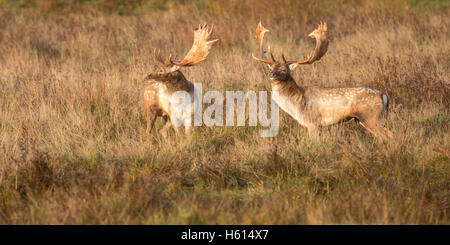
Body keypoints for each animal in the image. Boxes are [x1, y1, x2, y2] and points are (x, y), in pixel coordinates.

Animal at [251, 22, 392, 141]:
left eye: (284, 70)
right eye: (271, 68)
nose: (272, 74)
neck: (297, 103)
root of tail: (383, 95)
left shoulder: (313, 122)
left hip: (370, 116)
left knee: (388, 135)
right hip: (363, 119)